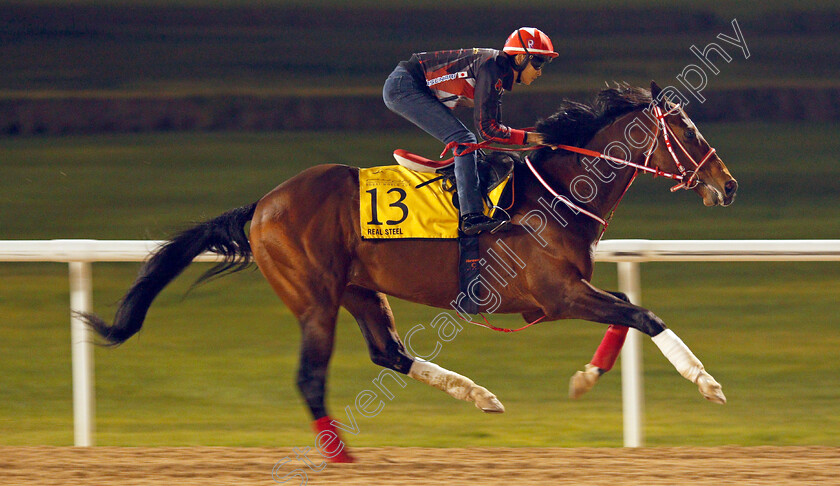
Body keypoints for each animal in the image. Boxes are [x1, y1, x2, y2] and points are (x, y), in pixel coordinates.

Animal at [83, 81, 736, 462]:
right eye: (686, 130)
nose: (727, 185)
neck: (554, 197)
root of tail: (263, 204)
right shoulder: (557, 294)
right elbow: (643, 314)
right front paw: (706, 381)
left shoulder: (567, 291)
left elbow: (628, 315)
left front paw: (584, 378)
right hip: (314, 297)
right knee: (311, 377)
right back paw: (341, 457)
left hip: (359, 289)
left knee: (388, 352)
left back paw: (480, 396)